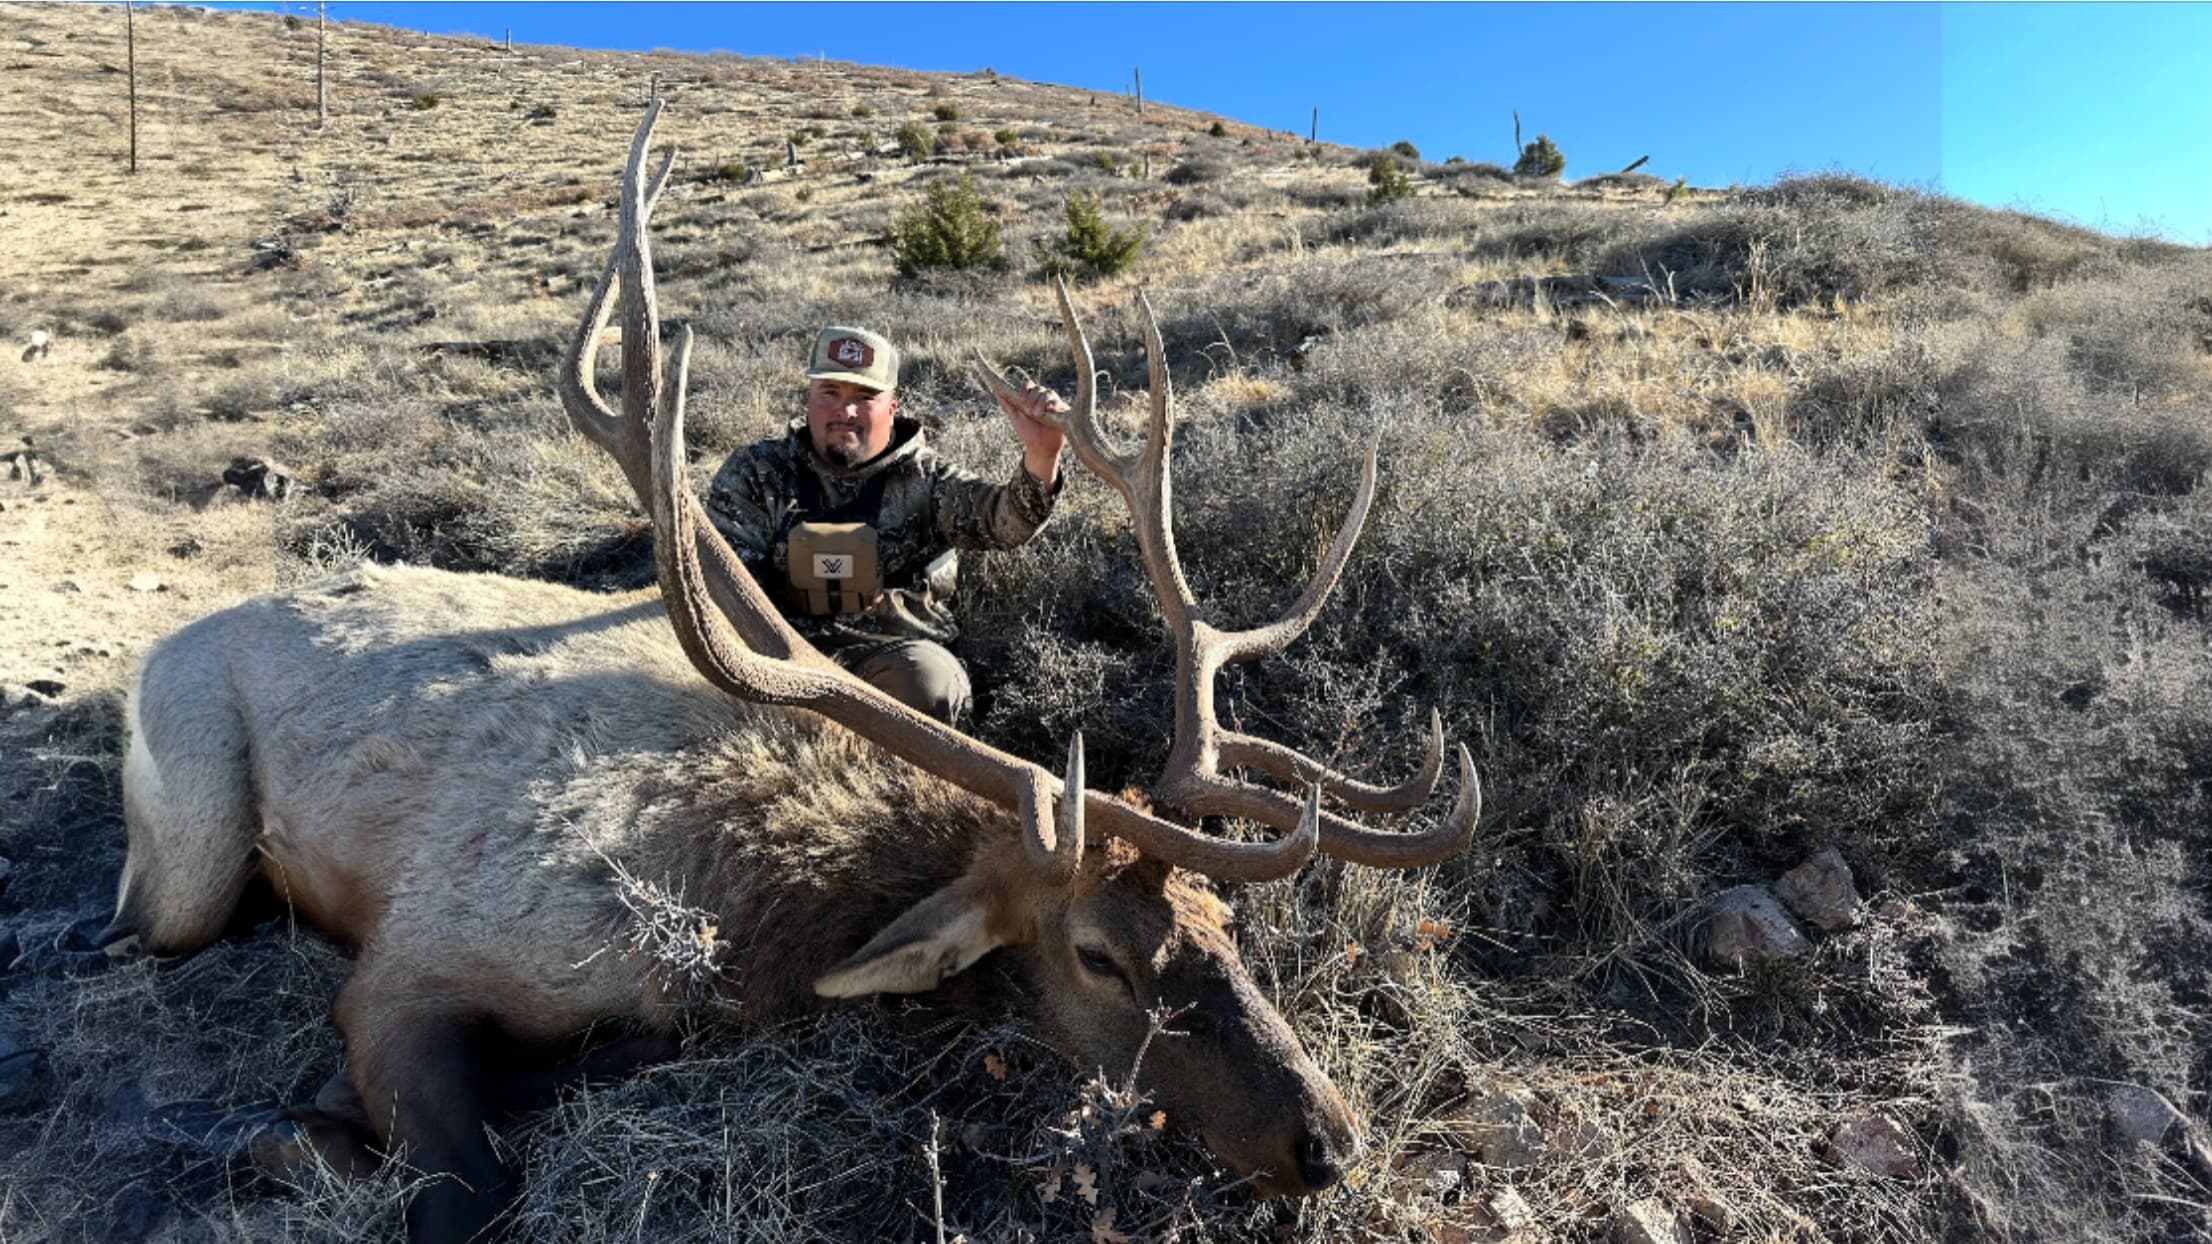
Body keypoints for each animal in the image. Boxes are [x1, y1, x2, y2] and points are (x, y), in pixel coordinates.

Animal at [107, 101, 1482, 1244]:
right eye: (1098, 954)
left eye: (1222, 923)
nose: (1329, 1140)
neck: (751, 898)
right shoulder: (414, 960)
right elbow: (467, 1182)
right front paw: (285, 1135)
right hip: (191, 844)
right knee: (153, 920)